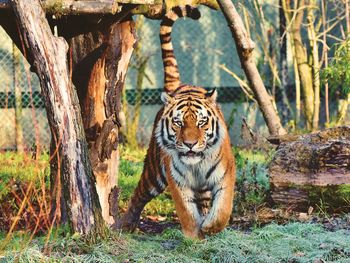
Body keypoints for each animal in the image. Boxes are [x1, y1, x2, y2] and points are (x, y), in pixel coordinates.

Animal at [119, 4, 237, 239]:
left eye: (201, 123)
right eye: (178, 123)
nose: (190, 144)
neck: (197, 165)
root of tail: (180, 85)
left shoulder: (225, 175)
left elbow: (223, 209)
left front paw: (210, 227)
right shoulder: (178, 181)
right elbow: (187, 213)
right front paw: (193, 236)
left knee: (205, 202)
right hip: (153, 172)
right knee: (138, 195)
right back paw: (126, 224)